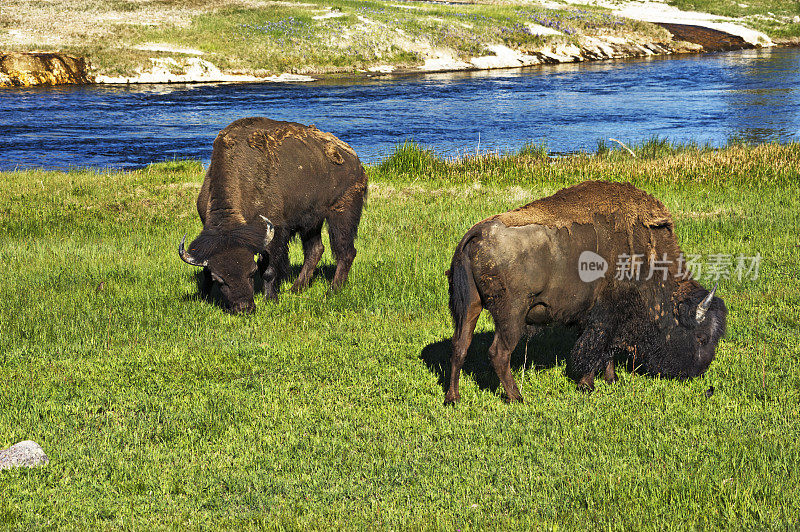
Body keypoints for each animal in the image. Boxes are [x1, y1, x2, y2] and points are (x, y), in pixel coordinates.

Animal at [179, 118, 368, 314]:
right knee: (315, 250)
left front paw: (271, 298)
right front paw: (202, 296)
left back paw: (332, 290)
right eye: (219, 279)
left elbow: (269, 269)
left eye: (252, 272)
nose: (244, 307)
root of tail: (355, 160)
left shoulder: (274, 231)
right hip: (311, 222)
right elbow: (205, 271)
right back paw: (296, 289)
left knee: (345, 251)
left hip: (342, 214)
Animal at [446, 182, 728, 404]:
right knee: (499, 353)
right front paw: (588, 385)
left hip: (470, 307)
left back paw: (453, 398)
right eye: (701, 337)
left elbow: (605, 351)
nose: (699, 372)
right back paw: (517, 397)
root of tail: (478, 233)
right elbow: (596, 350)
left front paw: (611, 380)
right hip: (512, 316)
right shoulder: (605, 318)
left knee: (460, 346)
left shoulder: (595, 318)